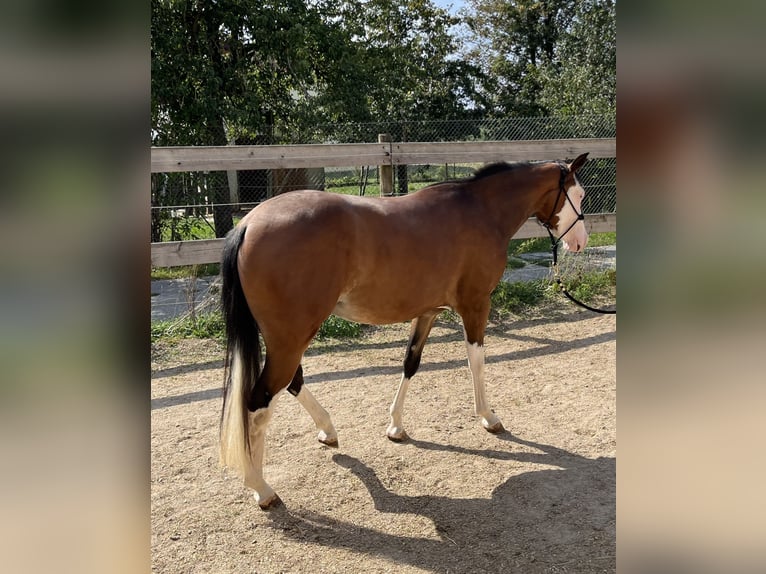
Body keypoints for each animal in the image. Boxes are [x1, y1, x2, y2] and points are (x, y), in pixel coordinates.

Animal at [219, 152, 592, 508]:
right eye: (579, 195)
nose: (580, 242)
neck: (481, 211)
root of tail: (248, 225)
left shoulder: (427, 312)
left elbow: (411, 362)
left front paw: (396, 426)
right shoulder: (475, 306)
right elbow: (476, 362)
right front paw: (488, 417)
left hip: (287, 338)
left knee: (292, 382)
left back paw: (327, 430)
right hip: (291, 338)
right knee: (260, 401)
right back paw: (261, 488)